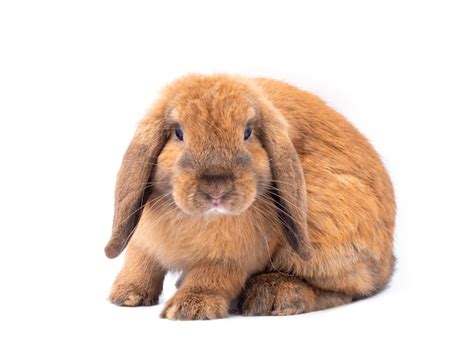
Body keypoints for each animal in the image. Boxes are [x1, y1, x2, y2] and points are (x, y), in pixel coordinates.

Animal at [104, 73, 396, 322]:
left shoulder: (231, 259)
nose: (217, 188)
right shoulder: (142, 242)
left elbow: (210, 277)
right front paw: (126, 296)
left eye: (247, 133)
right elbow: (140, 264)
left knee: (346, 290)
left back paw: (275, 296)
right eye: (178, 133)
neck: (199, 219)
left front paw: (189, 308)